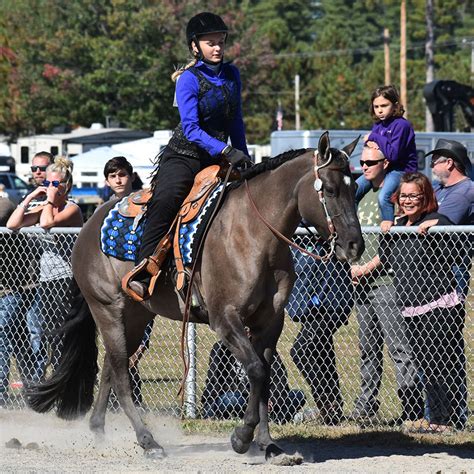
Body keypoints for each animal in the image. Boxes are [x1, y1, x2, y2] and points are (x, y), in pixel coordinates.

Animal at [27, 132, 364, 462]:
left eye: (356, 188)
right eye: (330, 189)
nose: (354, 246)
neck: (253, 233)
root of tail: (88, 226)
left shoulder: (270, 322)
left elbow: (265, 376)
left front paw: (268, 445)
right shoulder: (225, 319)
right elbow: (255, 371)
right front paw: (241, 438)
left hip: (136, 316)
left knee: (112, 365)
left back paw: (99, 429)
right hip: (108, 311)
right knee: (121, 374)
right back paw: (148, 441)